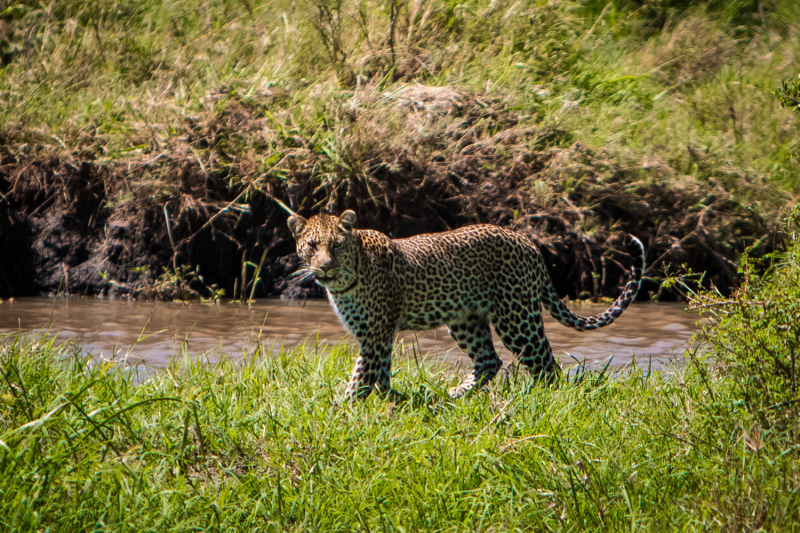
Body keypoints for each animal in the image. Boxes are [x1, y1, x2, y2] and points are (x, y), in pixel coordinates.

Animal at [288, 210, 644, 402]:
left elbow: (361, 374)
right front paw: (391, 402)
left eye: (336, 245)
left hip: (516, 319)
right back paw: (454, 395)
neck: (345, 280)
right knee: (489, 361)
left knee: (546, 365)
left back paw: (539, 402)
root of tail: (529, 244)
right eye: (312, 246)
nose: (325, 267)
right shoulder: (380, 334)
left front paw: (341, 409)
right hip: (465, 320)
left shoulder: (375, 333)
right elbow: (380, 373)